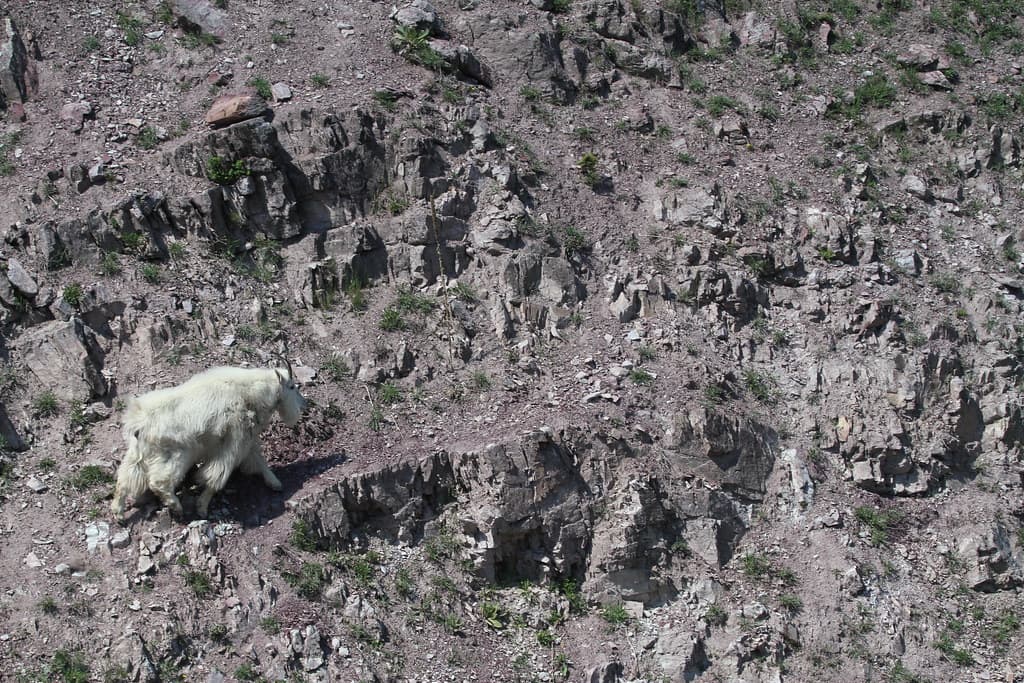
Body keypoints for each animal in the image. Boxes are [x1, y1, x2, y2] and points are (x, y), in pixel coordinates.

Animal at [111, 364, 306, 519]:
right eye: (292, 386)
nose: (305, 404)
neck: (251, 393)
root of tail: (139, 422)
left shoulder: (247, 440)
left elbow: (258, 459)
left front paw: (275, 483)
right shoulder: (234, 442)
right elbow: (217, 475)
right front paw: (202, 507)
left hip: (137, 454)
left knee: (124, 480)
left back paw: (118, 513)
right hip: (177, 454)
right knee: (159, 482)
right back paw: (176, 507)